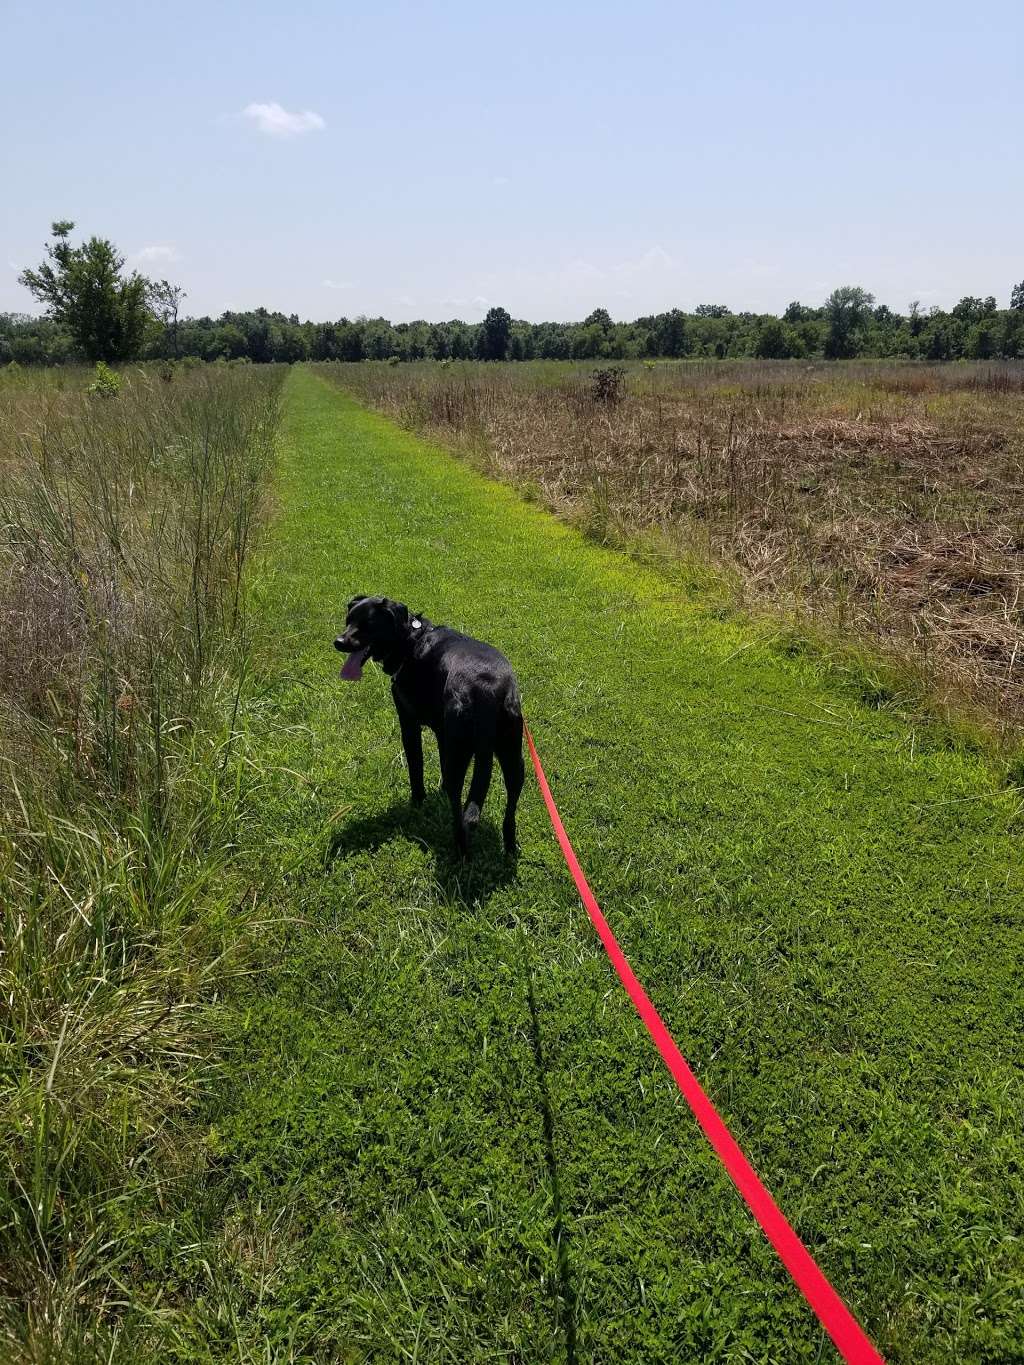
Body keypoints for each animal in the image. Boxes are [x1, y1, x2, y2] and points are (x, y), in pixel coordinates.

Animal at [337, 595, 524, 857]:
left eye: (368, 624)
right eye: (348, 620)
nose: (338, 642)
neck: (411, 641)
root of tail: (487, 690)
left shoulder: (409, 723)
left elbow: (416, 768)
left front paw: (417, 802)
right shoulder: (442, 732)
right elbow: (441, 766)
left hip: (463, 754)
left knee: (462, 814)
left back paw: (460, 851)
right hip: (513, 756)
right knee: (509, 807)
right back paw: (509, 848)